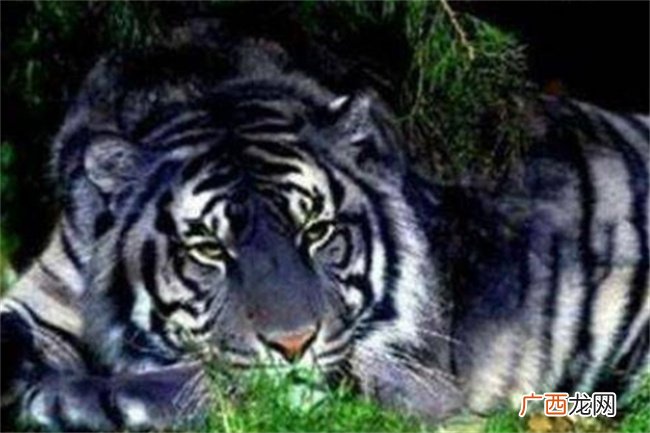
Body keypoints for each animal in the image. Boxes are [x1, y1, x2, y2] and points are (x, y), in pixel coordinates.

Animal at [1, 36, 648, 431]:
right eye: (209, 249)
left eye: (317, 231)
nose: (293, 345)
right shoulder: (44, 294)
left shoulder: (396, 370)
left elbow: (215, 381)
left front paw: (71, 398)